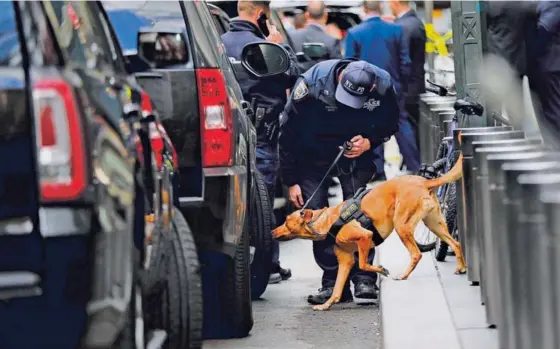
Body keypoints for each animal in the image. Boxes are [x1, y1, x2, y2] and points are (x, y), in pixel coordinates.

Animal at [274, 154, 466, 308]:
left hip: (402, 226)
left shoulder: (365, 237)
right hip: (435, 225)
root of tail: (424, 181)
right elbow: (337, 288)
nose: (272, 232)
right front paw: (326, 305)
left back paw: (403, 275)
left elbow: (363, 264)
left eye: (286, 221)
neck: (327, 221)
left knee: (416, 254)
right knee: (455, 243)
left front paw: (381, 269)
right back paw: (461, 268)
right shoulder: (345, 261)